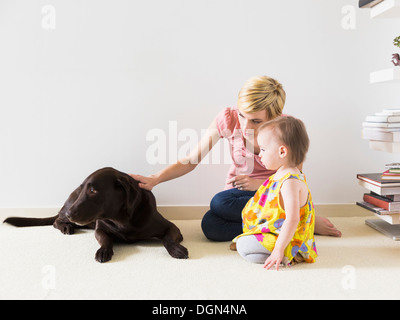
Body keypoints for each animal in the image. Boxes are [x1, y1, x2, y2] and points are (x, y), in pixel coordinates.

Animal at [3, 168, 189, 262]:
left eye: (93, 190)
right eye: (83, 189)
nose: (70, 214)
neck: (122, 219)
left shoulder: (172, 227)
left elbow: (167, 239)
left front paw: (176, 249)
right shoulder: (100, 229)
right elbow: (105, 239)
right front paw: (103, 251)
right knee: (56, 220)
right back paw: (65, 226)